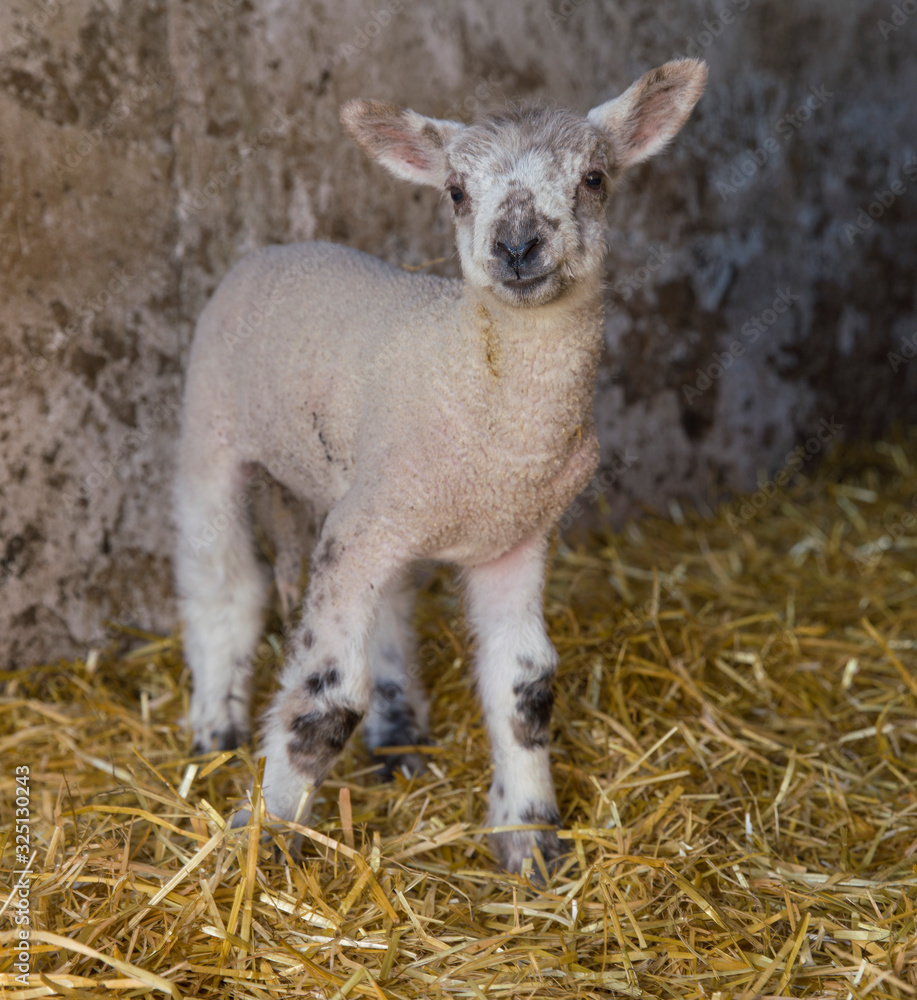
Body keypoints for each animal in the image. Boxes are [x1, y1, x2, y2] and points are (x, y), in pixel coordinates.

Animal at [174, 58, 707, 876]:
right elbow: (326, 702)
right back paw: (214, 728)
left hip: (361, 492)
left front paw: (529, 840)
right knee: (222, 584)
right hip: (213, 429)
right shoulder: (354, 535)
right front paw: (264, 836)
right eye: (455, 191)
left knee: (389, 607)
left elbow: (525, 686)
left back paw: (400, 741)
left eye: (592, 178)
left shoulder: (513, 537)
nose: (516, 246)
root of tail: (282, 246)